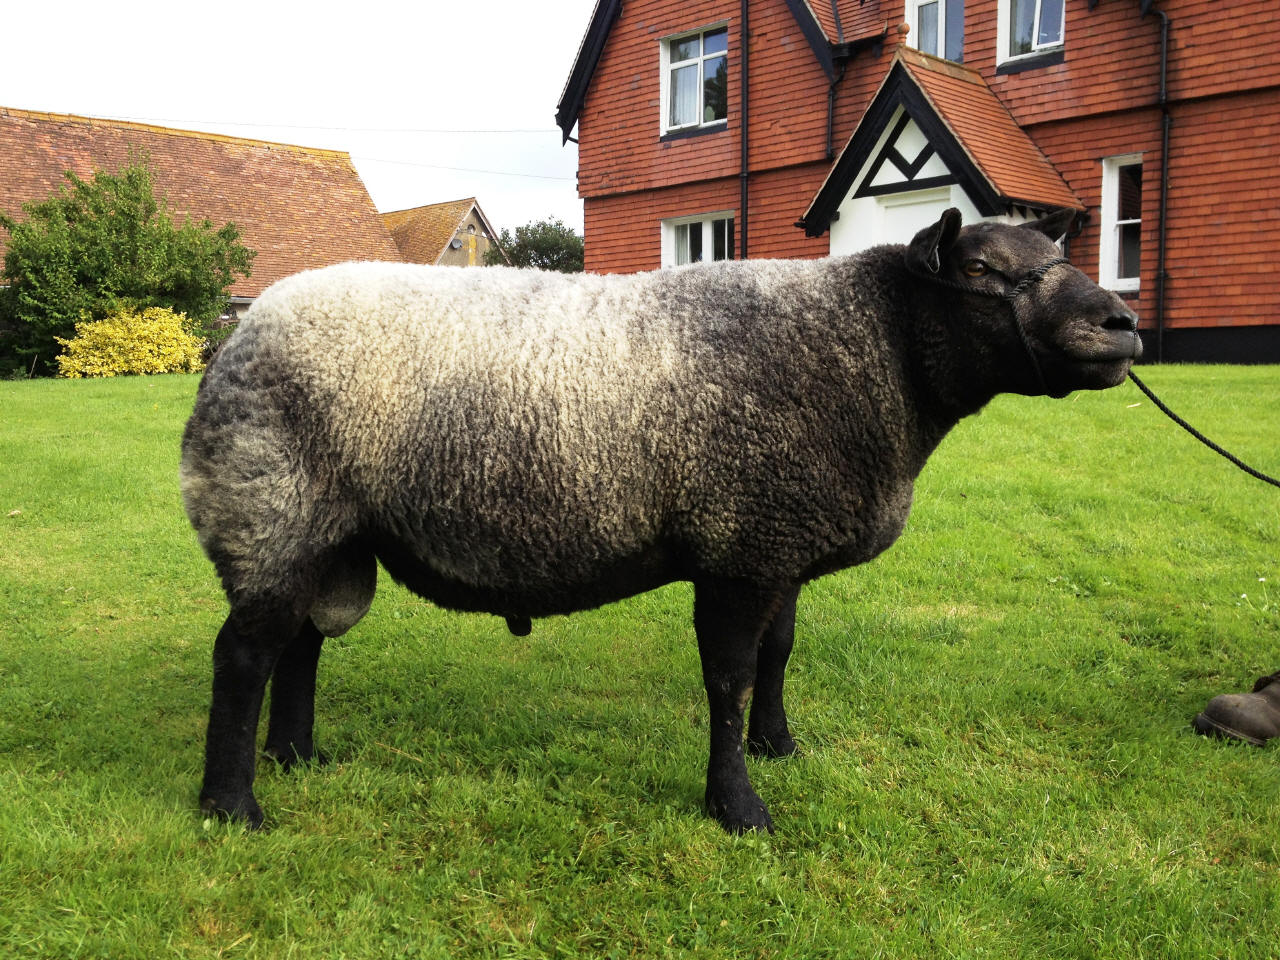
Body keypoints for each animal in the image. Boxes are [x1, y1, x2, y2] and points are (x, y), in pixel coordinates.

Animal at [181, 208, 1142, 834]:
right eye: (980, 270)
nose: (1122, 324)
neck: (871, 354)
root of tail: (234, 341)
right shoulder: (739, 546)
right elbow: (729, 677)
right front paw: (739, 807)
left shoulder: (776, 542)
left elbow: (778, 654)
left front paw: (779, 746)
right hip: (270, 509)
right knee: (245, 657)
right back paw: (234, 807)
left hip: (323, 532)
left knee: (299, 646)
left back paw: (296, 756)